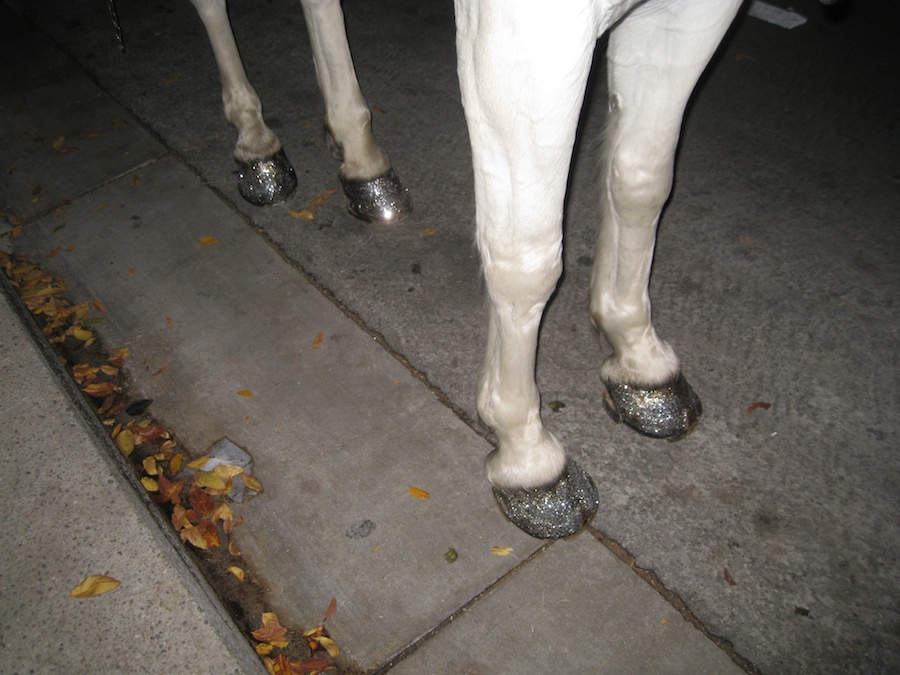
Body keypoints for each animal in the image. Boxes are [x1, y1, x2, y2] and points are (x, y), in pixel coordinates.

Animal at [190, 0, 744, 540]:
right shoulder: (525, 33)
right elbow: (526, 256)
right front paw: (527, 458)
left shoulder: (691, 16)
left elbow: (641, 181)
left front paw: (640, 360)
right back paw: (257, 145)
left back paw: (362, 162)